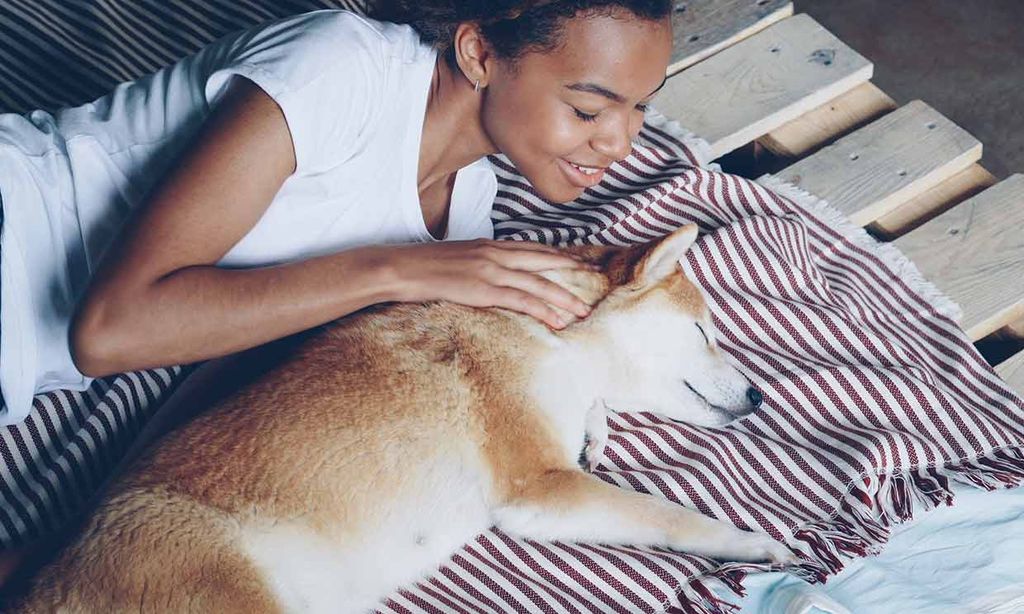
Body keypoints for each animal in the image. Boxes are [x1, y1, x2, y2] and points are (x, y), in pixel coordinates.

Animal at [18, 225, 798, 614]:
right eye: (704, 331)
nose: (761, 396)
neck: (544, 333)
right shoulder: (538, 490)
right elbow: (675, 518)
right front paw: (754, 544)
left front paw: (596, 427)